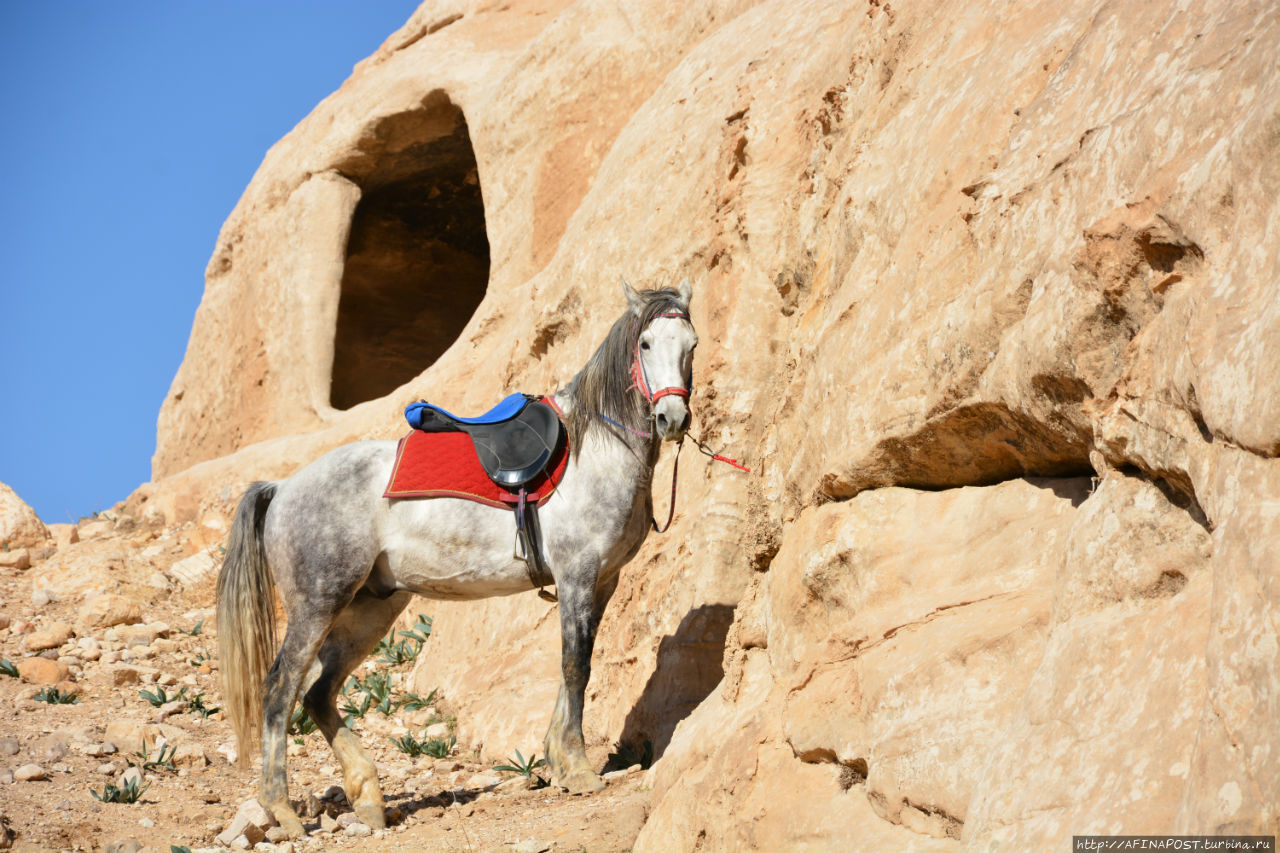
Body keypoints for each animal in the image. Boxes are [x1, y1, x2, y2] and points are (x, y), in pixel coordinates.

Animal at [218, 277, 701, 829]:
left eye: (692, 345)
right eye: (645, 344)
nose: (671, 417)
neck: (593, 450)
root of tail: (282, 487)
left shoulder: (601, 581)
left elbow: (576, 663)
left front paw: (558, 761)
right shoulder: (578, 575)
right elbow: (575, 665)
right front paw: (578, 770)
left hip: (371, 608)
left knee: (319, 692)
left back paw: (367, 795)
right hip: (317, 604)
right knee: (280, 689)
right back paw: (281, 808)